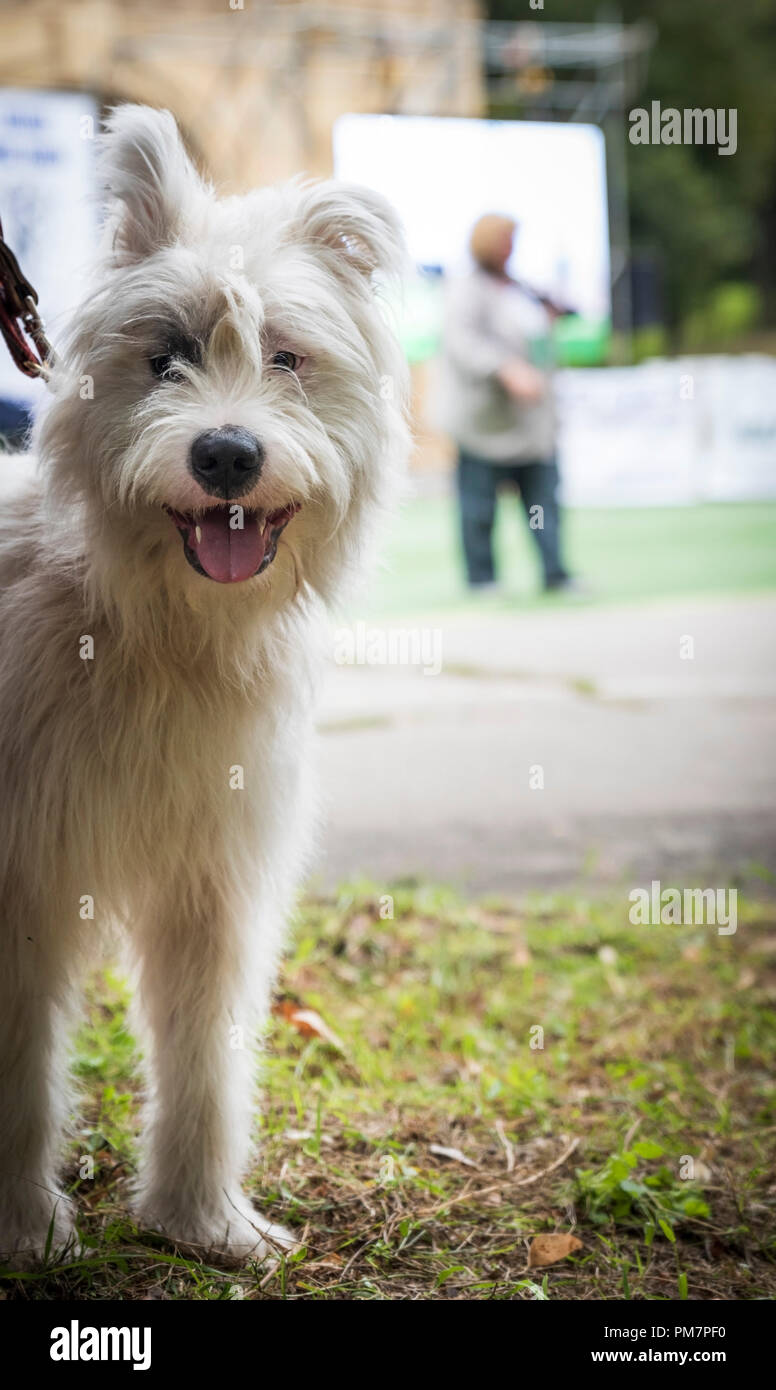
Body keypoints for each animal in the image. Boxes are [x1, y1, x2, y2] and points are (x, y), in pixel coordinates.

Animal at [0, 102, 411, 1267]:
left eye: (286, 357)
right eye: (168, 357)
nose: (227, 454)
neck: (149, 632)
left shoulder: (213, 886)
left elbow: (204, 1060)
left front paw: (201, 1221)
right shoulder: (21, 885)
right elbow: (20, 1078)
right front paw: (24, 1228)